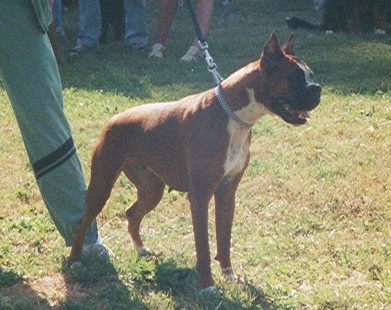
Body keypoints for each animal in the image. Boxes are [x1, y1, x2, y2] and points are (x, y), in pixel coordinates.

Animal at [69, 33, 322, 290]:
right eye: (293, 78)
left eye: (310, 75)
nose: (318, 89)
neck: (234, 116)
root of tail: (113, 119)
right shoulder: (200, 196)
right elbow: (203, 246)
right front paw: (207, 284)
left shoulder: (227, 193)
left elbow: (224, 238)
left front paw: (228, 274)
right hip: (102, 187)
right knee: (82, 222)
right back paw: (75, 261)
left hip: (152, 191)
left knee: (131, 214)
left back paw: (141, 250)